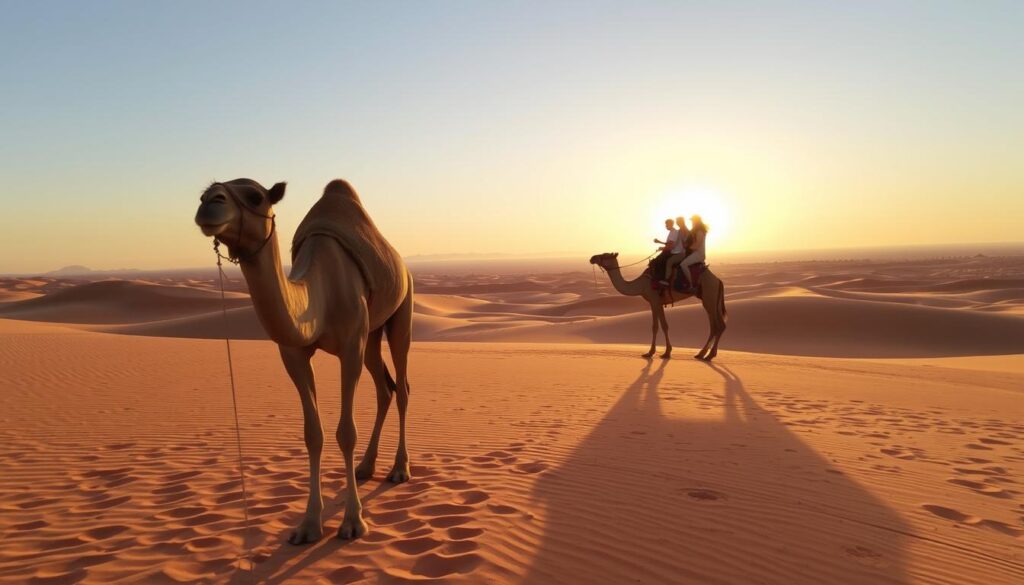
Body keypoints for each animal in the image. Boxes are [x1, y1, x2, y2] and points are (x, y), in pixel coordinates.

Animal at [194, 178, 413, 544]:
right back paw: (366, 467)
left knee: (404, 387)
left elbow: (345, 432)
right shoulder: (293, 354)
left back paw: (400, 469)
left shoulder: (350, 347)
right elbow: (313, 434)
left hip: (402, 310)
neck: (318, 297)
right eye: (202, 194)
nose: (210, 203)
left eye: (255, 196)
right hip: (372, 332)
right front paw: (308, 524)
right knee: (385, 388)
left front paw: (353, 522)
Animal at [589, 252, 727, 360]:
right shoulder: (657, 303)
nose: (592, 258)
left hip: (709, 296)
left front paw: (651, 352)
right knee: (716, 325)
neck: (641, 284)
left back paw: (708, 355)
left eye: (605, 255)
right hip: (711, 299)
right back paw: (702, 354)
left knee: (717, 325)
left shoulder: (654, 300)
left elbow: (656, 326)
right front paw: (666, 352)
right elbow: (663, 325)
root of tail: (718, 280)